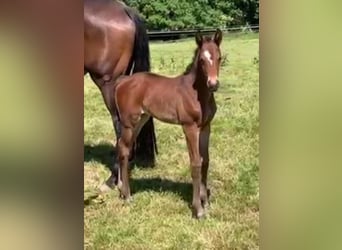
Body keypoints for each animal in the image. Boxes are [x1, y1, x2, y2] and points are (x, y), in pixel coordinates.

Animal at [113, 28, 223, 218]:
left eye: (219, 57)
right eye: (202, 59)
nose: (213, 84)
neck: (197, 94)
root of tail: (123, 81)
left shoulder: (206, 127)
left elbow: (206, 161)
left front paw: (206, 202)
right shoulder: (189, 127)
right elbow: (195, 163)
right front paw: (198, 209)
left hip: (141, 120)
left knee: (123, 146)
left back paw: (122, 189)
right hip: (129, 122)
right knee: (124, 149)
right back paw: (127, 195)